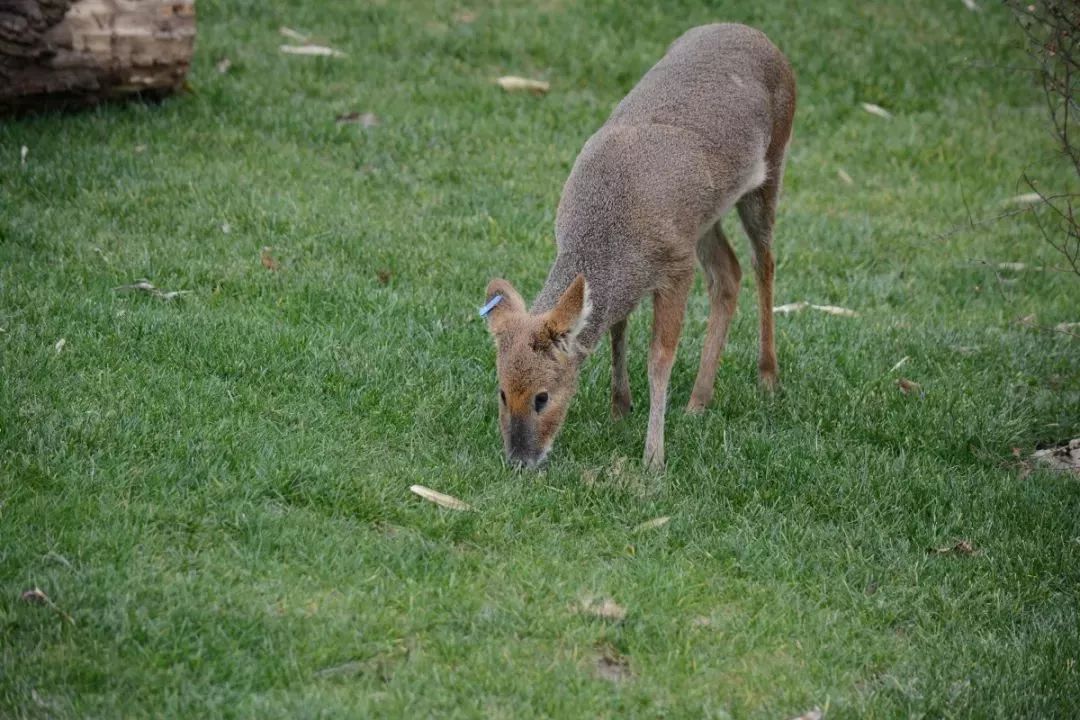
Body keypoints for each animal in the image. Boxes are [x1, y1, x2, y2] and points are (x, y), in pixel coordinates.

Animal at [481, 22, 794, 470]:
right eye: (503, 392)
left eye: (542, 397)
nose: (520, 460)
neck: (613, 230)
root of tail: (757, 35)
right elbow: (617, 327)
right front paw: (620, 407)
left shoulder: (676, 265)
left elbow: (660, 357)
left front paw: (653, 457)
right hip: (704, 218)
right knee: (729, 272)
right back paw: (699, 401)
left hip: (771, 169)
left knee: (762, 262)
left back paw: (767, 378)